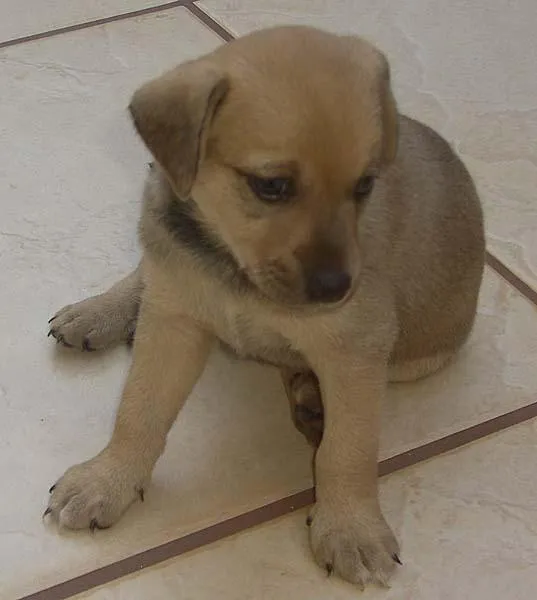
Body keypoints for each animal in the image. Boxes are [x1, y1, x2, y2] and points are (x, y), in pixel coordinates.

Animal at [46, 25, 484, 588]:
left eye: (364, 185)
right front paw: (107, 480)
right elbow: (138, 410)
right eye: (271, 186)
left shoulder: (356, 350)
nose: (336, 288)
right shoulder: (173, 320)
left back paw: (309, 397)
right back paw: (99, 311)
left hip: (415, 359)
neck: (236, 269)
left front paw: (350, 529)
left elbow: (349, 449)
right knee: (145, 268)